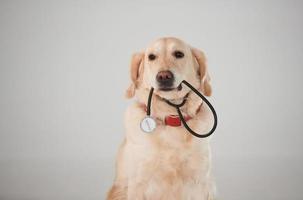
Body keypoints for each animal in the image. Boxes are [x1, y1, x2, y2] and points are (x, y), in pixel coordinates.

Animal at [107, 36, 216, 199]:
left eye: (179, 54)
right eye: (151, 57)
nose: (164, 76)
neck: (172, 117)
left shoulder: (200, 183)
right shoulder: (138, 183)